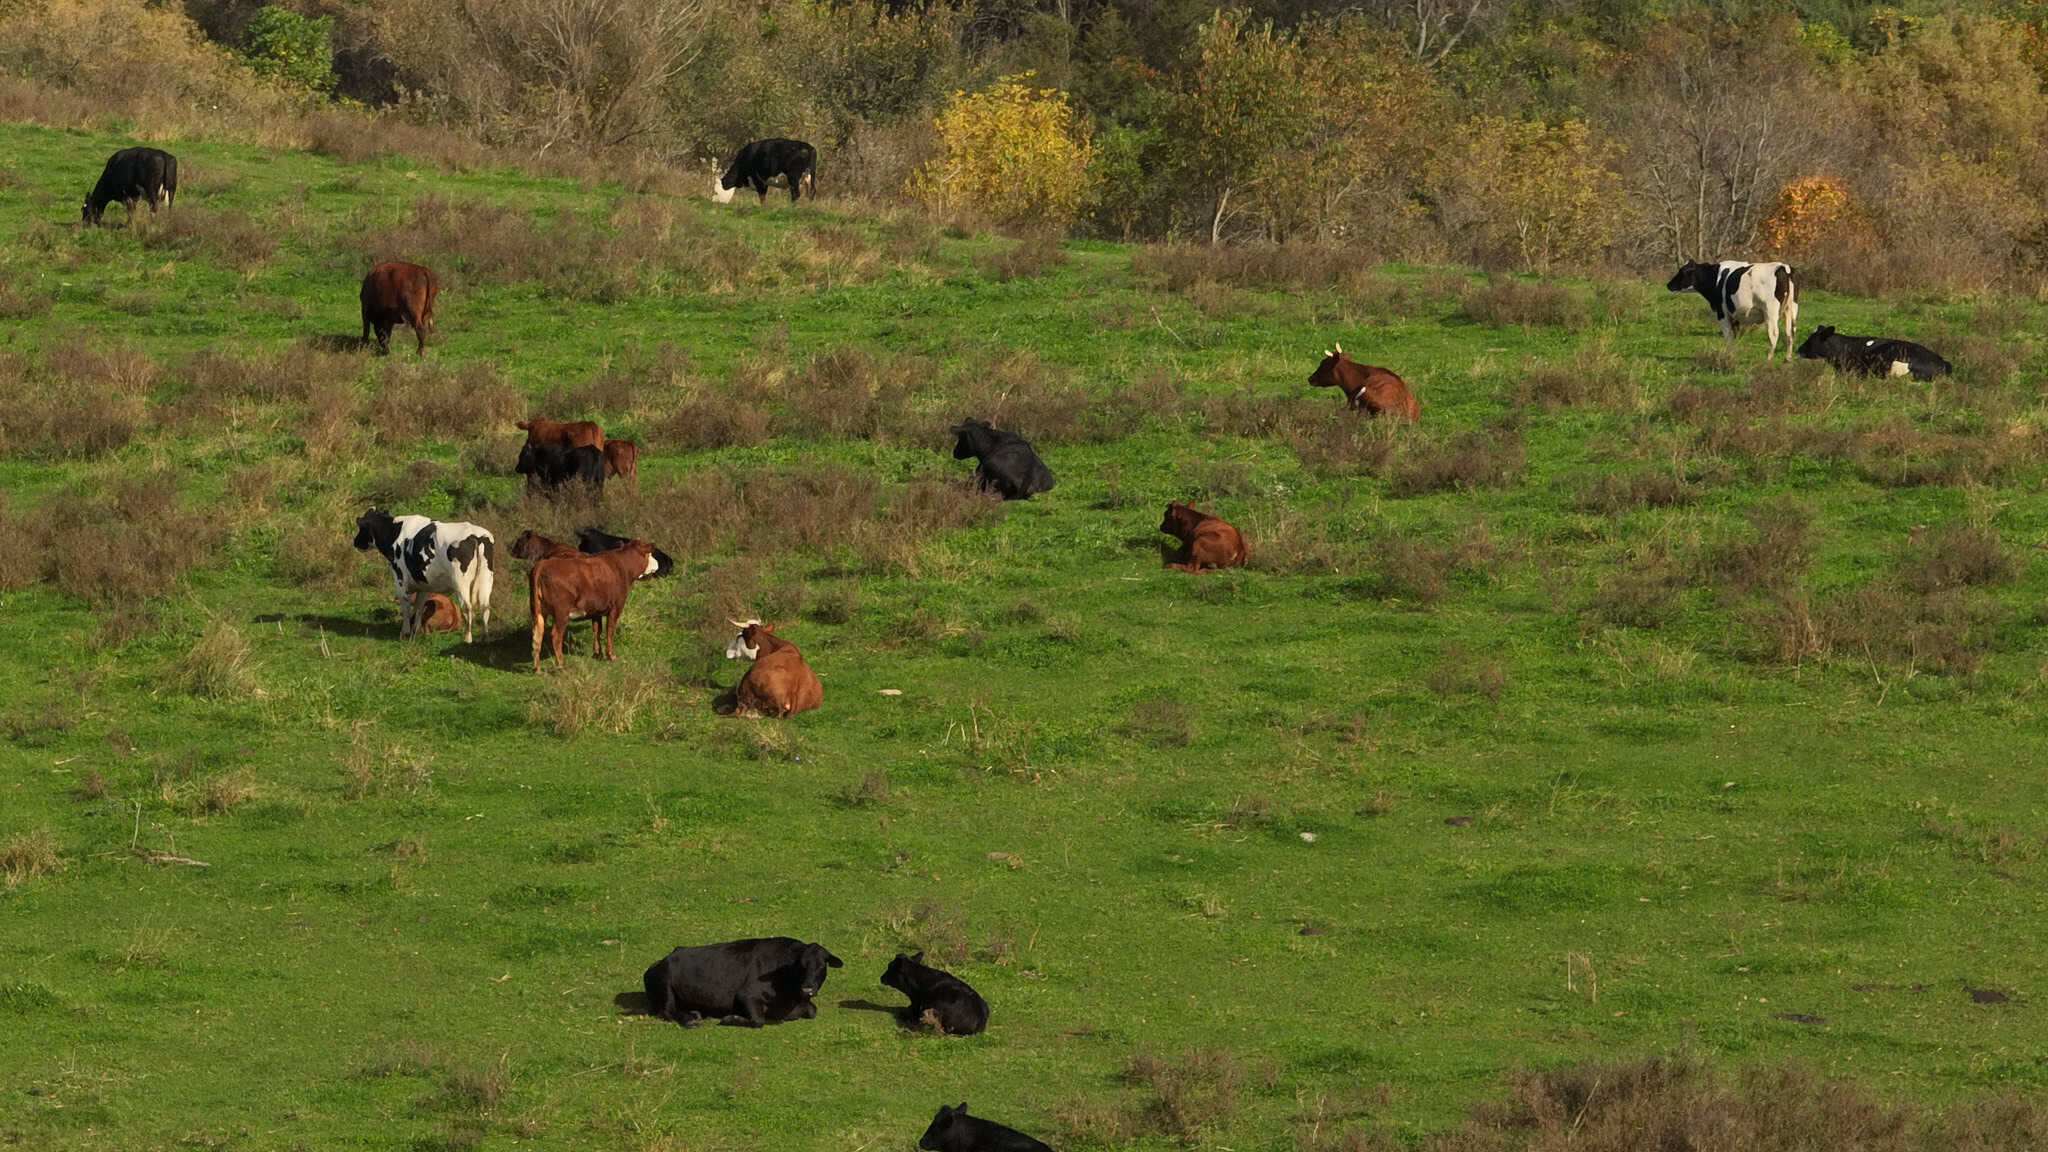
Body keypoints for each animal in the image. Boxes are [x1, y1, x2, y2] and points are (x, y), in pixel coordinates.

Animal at [351, 508, 495, 642]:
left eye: (361, 527)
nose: (355, 541)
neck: (395, 533)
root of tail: (475, 534)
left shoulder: (399, 578)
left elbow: (406, 605)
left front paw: (405, 633)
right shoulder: (423, 584)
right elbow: (419, 606)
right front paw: (416, 631)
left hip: (461, 582)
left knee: (467, 607)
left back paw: (467, 639)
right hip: (486, 578)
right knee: (485, 607)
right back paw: (486, 639)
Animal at [528, 540, 658, 672]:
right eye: (650, 553)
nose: (657, 563)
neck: (621, 566)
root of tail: (543, 564)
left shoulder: (596, 610)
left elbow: (597, 630)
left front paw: (597, 654)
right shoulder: (616, 607)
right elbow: (609, 630)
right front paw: (611, 655)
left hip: (538, 611)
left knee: (537, 634)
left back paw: (537, 668)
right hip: (561, 612)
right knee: (556, 635)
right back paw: (561, 665)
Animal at [641, 937, 843, 1027]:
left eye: (821, 966)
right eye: (801, 965)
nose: (808, 988)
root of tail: (665, 958)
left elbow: (812, 1011)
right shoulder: (747, 995)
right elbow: (758, 1020)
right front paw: (731, 1018)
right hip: (665, 985)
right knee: (667, 1011)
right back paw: (690, 1020)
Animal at [1667, 260, 1798, 361]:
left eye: (1682, 272)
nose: (1668, 285)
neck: (1715, 278)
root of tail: (1783, 267)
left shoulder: (1722, 313)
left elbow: (1728, 336)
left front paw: (1729, 356)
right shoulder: (1734, 315)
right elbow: (1734, 335)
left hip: (1770, 310)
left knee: (1774, 333)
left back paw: (1768, 359)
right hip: (1791, 309)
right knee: (1790, 332)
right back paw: (1787, 358)